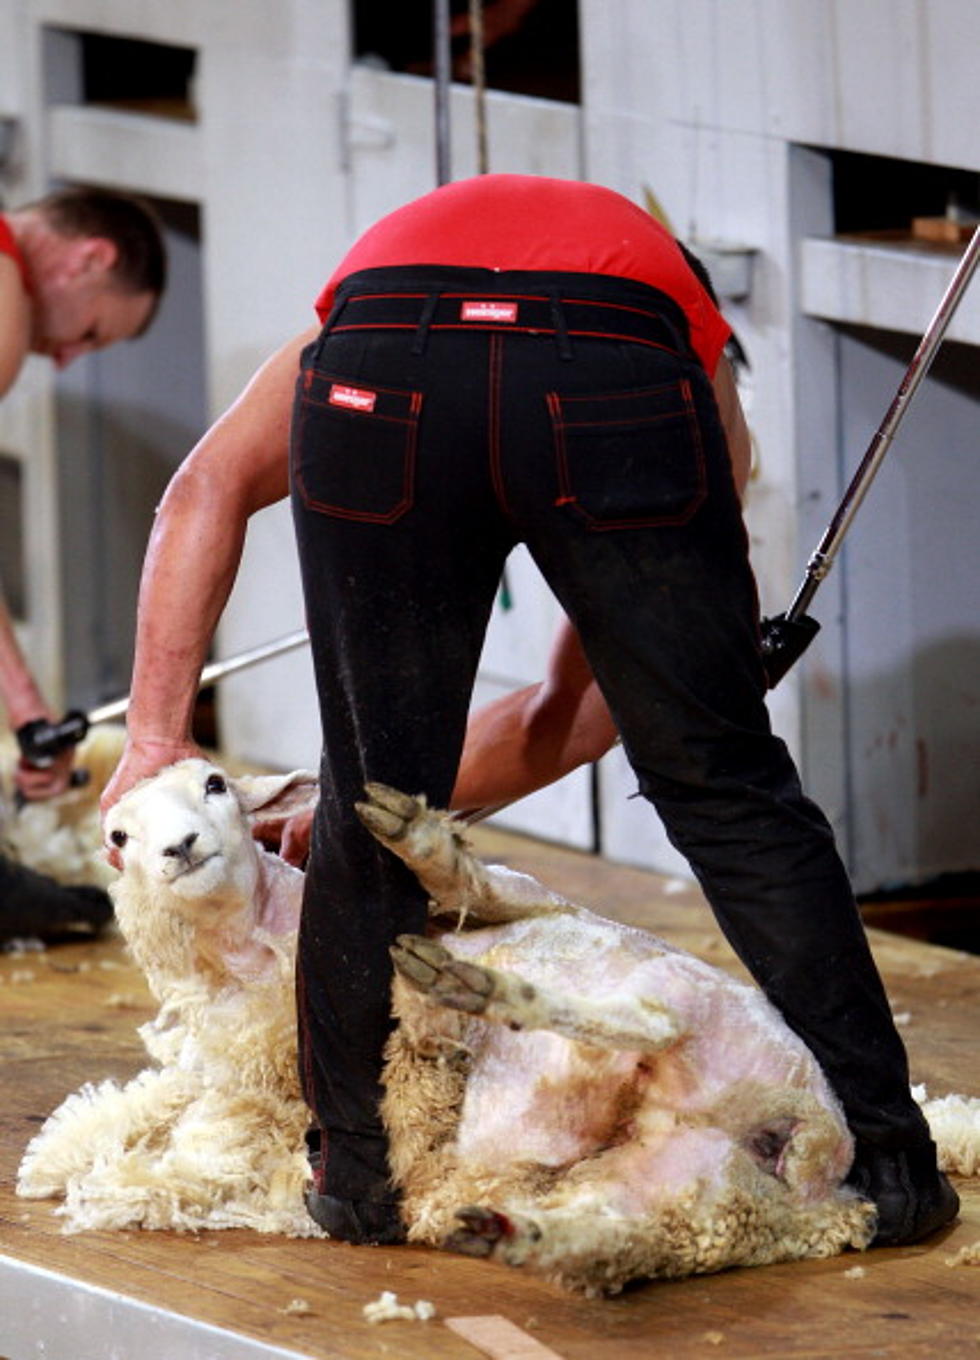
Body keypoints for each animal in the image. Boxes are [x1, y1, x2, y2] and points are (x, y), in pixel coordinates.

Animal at [17, 761, 973, 1289]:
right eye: (118, 838)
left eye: (215, 784)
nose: (177, 847)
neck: (264, 952)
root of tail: (818, 1187)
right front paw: (65, 1165)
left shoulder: (520, 896)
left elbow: (465, 881)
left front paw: (410, 829)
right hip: (679, 1183)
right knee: (614, 1230)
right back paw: (516, 1230)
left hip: (710, 1021)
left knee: (645, 1022)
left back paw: (474, 986)